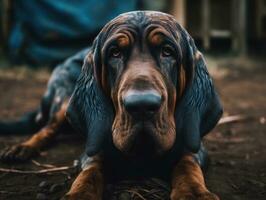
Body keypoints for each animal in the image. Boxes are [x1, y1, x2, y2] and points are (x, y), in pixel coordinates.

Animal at [0, 11, 221, 200]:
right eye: (114, 53)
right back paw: (22, 148)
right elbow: (89, 174)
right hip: (63, 100)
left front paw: (194, 192)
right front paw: (79, 193)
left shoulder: (192, 146)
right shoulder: (95, 150)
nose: (141, 105)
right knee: (47, 128)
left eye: (168, 51)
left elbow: (187, 166)